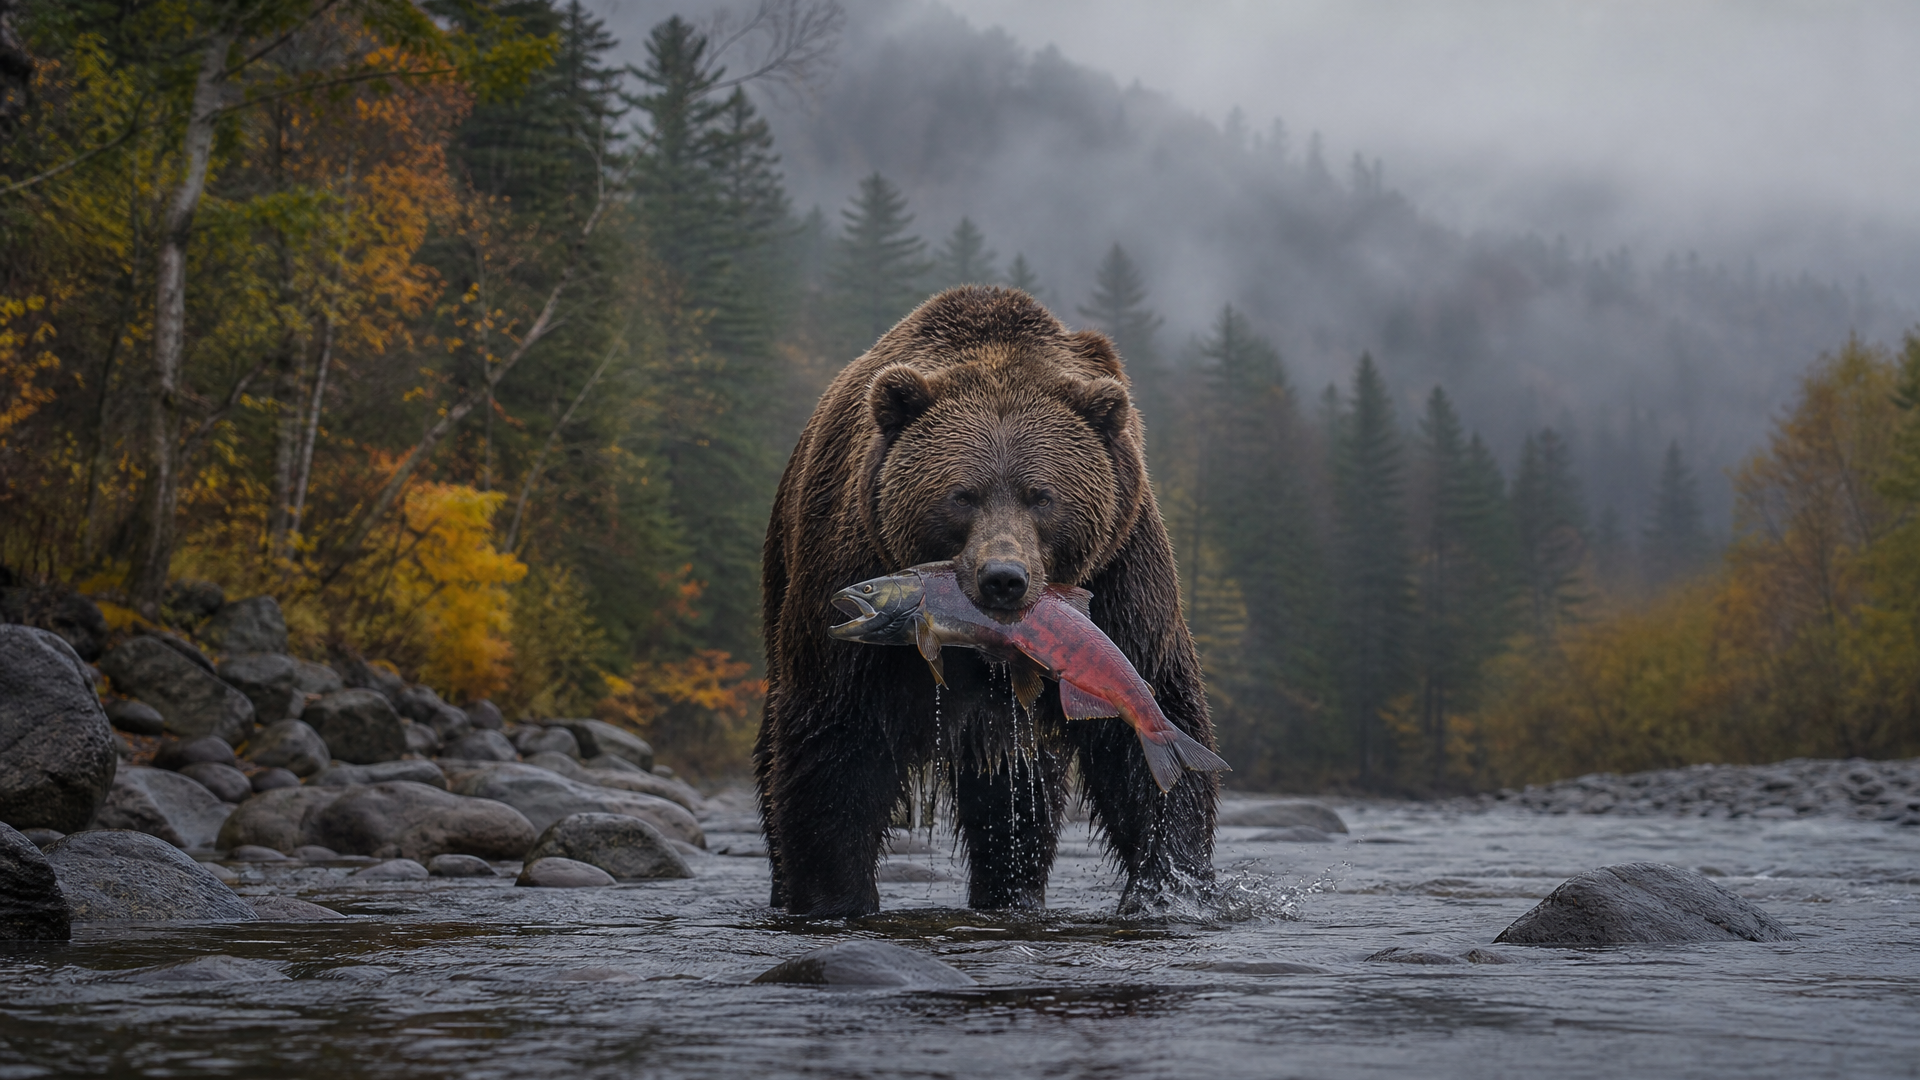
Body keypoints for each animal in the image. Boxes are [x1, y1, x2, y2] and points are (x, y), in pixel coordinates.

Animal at [757, 285, 1219, 917]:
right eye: (962, 495)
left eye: (1041, 496)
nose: (1004, 578)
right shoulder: (848, 560)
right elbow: (836, 741)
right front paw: (834, 896)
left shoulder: (1122, 577)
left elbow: (1142, 726)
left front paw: (1171, 885)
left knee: (1015, 801)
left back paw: (1009, 894)